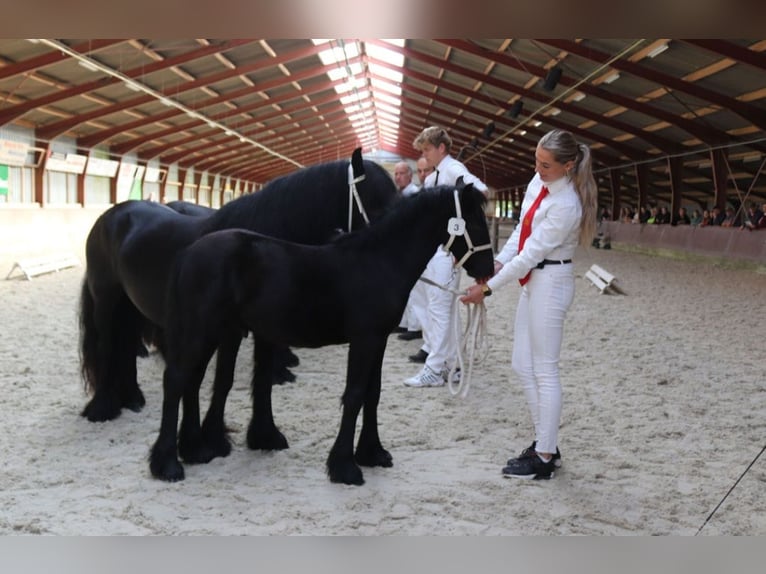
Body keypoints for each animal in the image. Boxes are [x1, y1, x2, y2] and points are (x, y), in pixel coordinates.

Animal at [81, 150, 400, 424]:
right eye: (379, 206)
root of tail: (109, 216)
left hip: (130, 303)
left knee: (124, 345)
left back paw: (132, 398)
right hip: (107, 300)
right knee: (108, 345)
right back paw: (103, 408)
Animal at [152, 180, 498, 486]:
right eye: (474, 222)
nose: (488, 271)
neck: (379, 261)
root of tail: (190, 252)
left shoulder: (379, 341)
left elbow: (373, 394)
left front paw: (372, 453)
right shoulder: (364, 340)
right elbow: (355, 395)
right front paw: (345, 467)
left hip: (213, 331)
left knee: (192, 381)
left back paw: (195, 450)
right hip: (201, 329)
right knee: (176, 381)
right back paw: (166, 464)